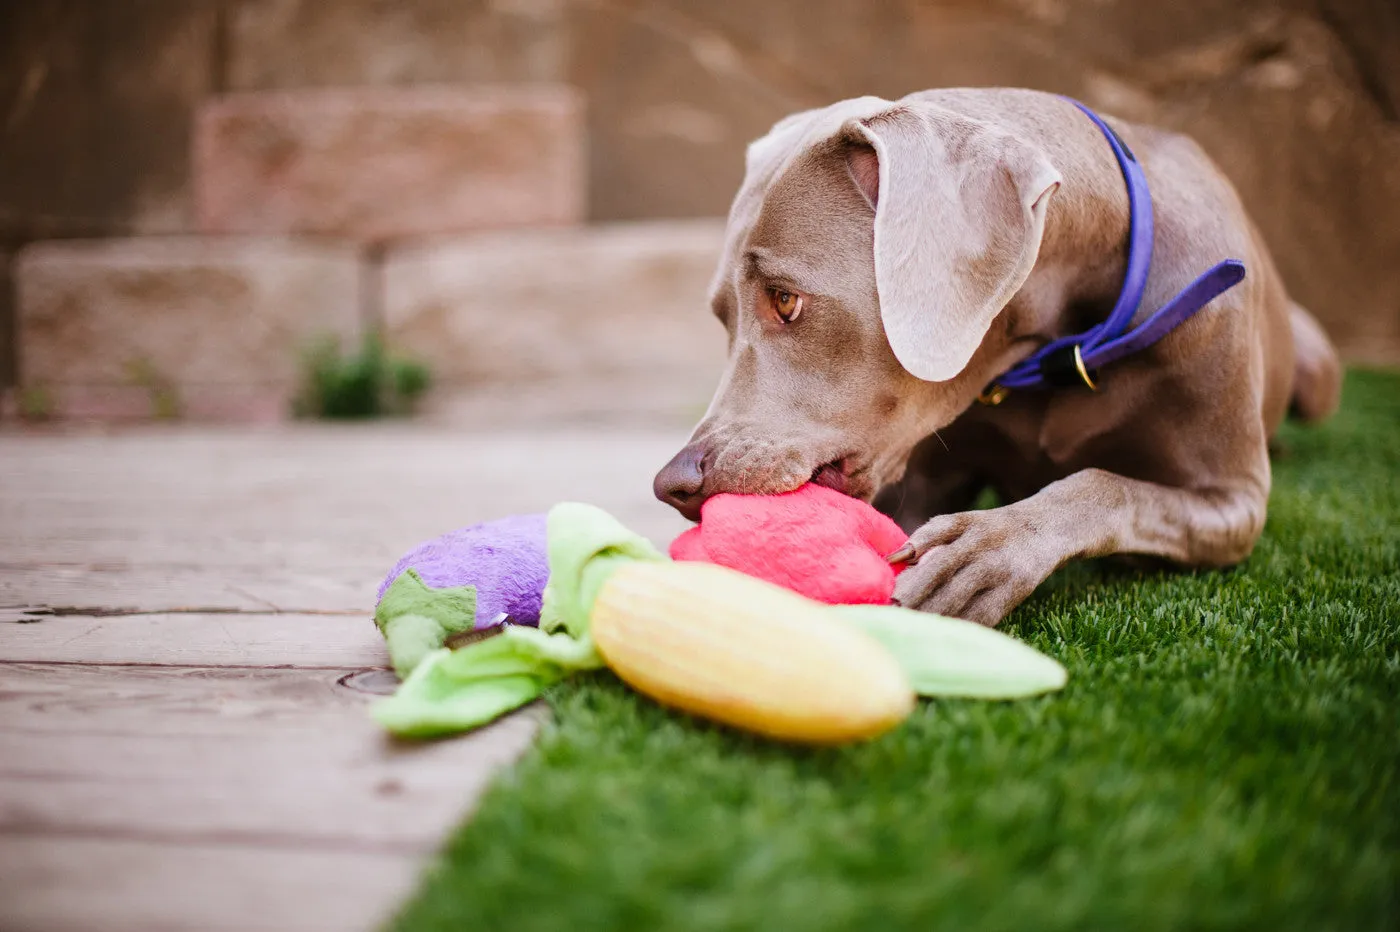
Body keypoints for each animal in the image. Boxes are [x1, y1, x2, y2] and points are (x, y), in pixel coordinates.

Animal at [649, 87, 1338, 624]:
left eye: (786, 301)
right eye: (722, 316)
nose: (671, 482)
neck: (1063, 347)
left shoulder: (1234, 500)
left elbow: (1106, 485)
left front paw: (989, 548)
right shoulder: (920, 479)